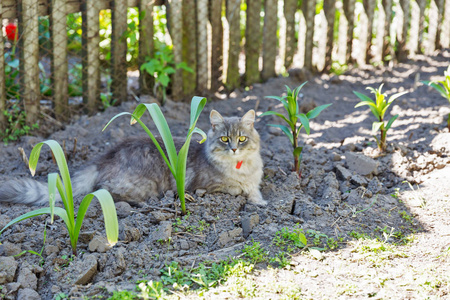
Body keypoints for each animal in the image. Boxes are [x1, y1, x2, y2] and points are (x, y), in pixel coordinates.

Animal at [0, 109, 268, 207]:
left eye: (241, 139)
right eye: (224, 139)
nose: (234, 149)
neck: (241, 166)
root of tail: (105, 157)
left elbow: (254, 190)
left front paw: (261, 201)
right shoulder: (207, 185)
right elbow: (237, 188)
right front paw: (253, 198)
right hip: (143, 186)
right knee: (107, 192)